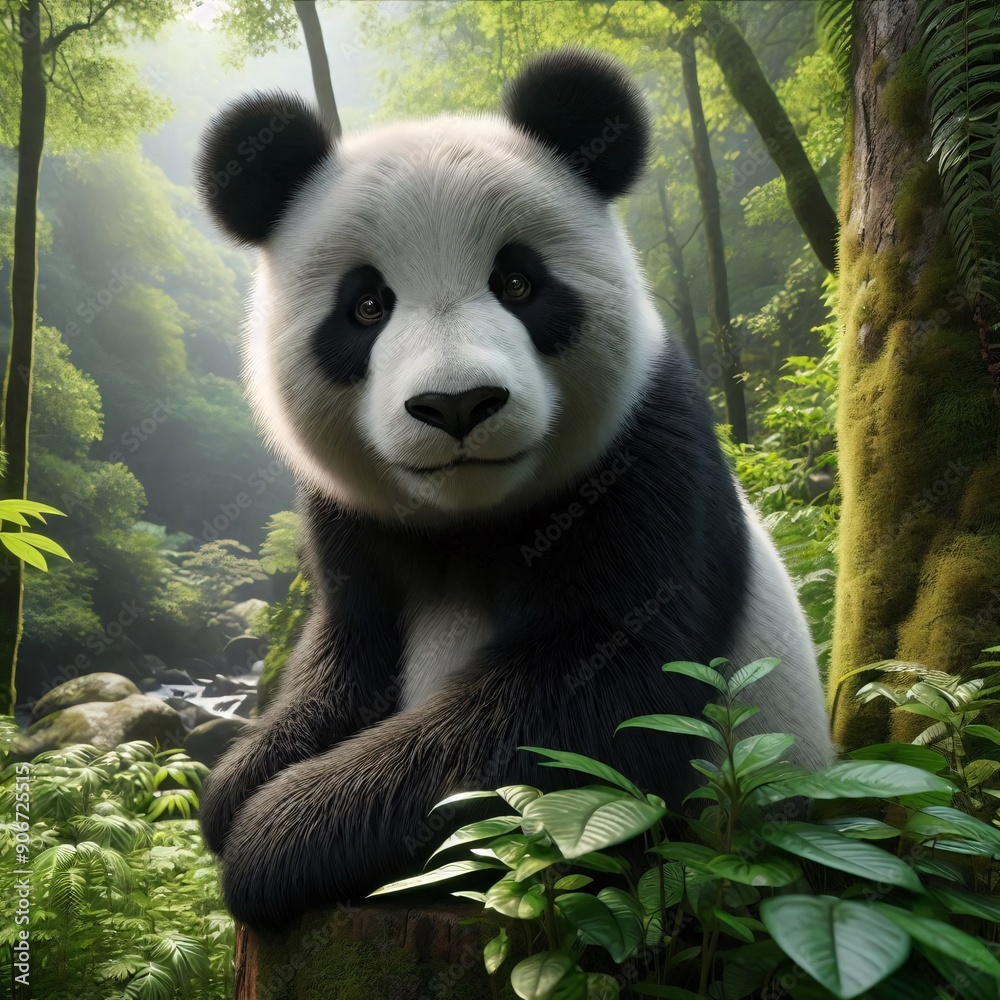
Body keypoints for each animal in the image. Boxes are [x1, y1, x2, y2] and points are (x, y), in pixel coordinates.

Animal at [195, 49, 833, 933]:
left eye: (519, 282)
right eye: (367, 305)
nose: (457, 404)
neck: (472, 519)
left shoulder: (649, 458)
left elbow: (591, 701)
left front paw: (274, 835)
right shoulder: (350, 515)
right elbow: (349, 651)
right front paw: (239, 784)